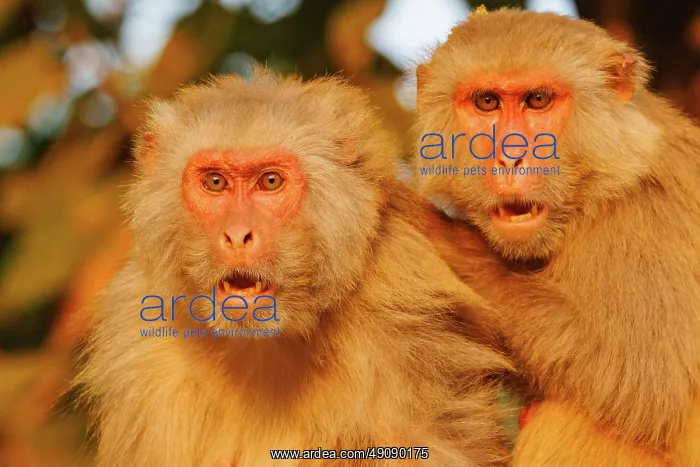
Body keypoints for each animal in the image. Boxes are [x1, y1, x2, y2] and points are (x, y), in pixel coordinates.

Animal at [410, 7, 700, 466]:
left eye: (538, 101)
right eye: (487, 102)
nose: (510, 156)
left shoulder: (646, 215)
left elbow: (640, 380)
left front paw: (437, 233)